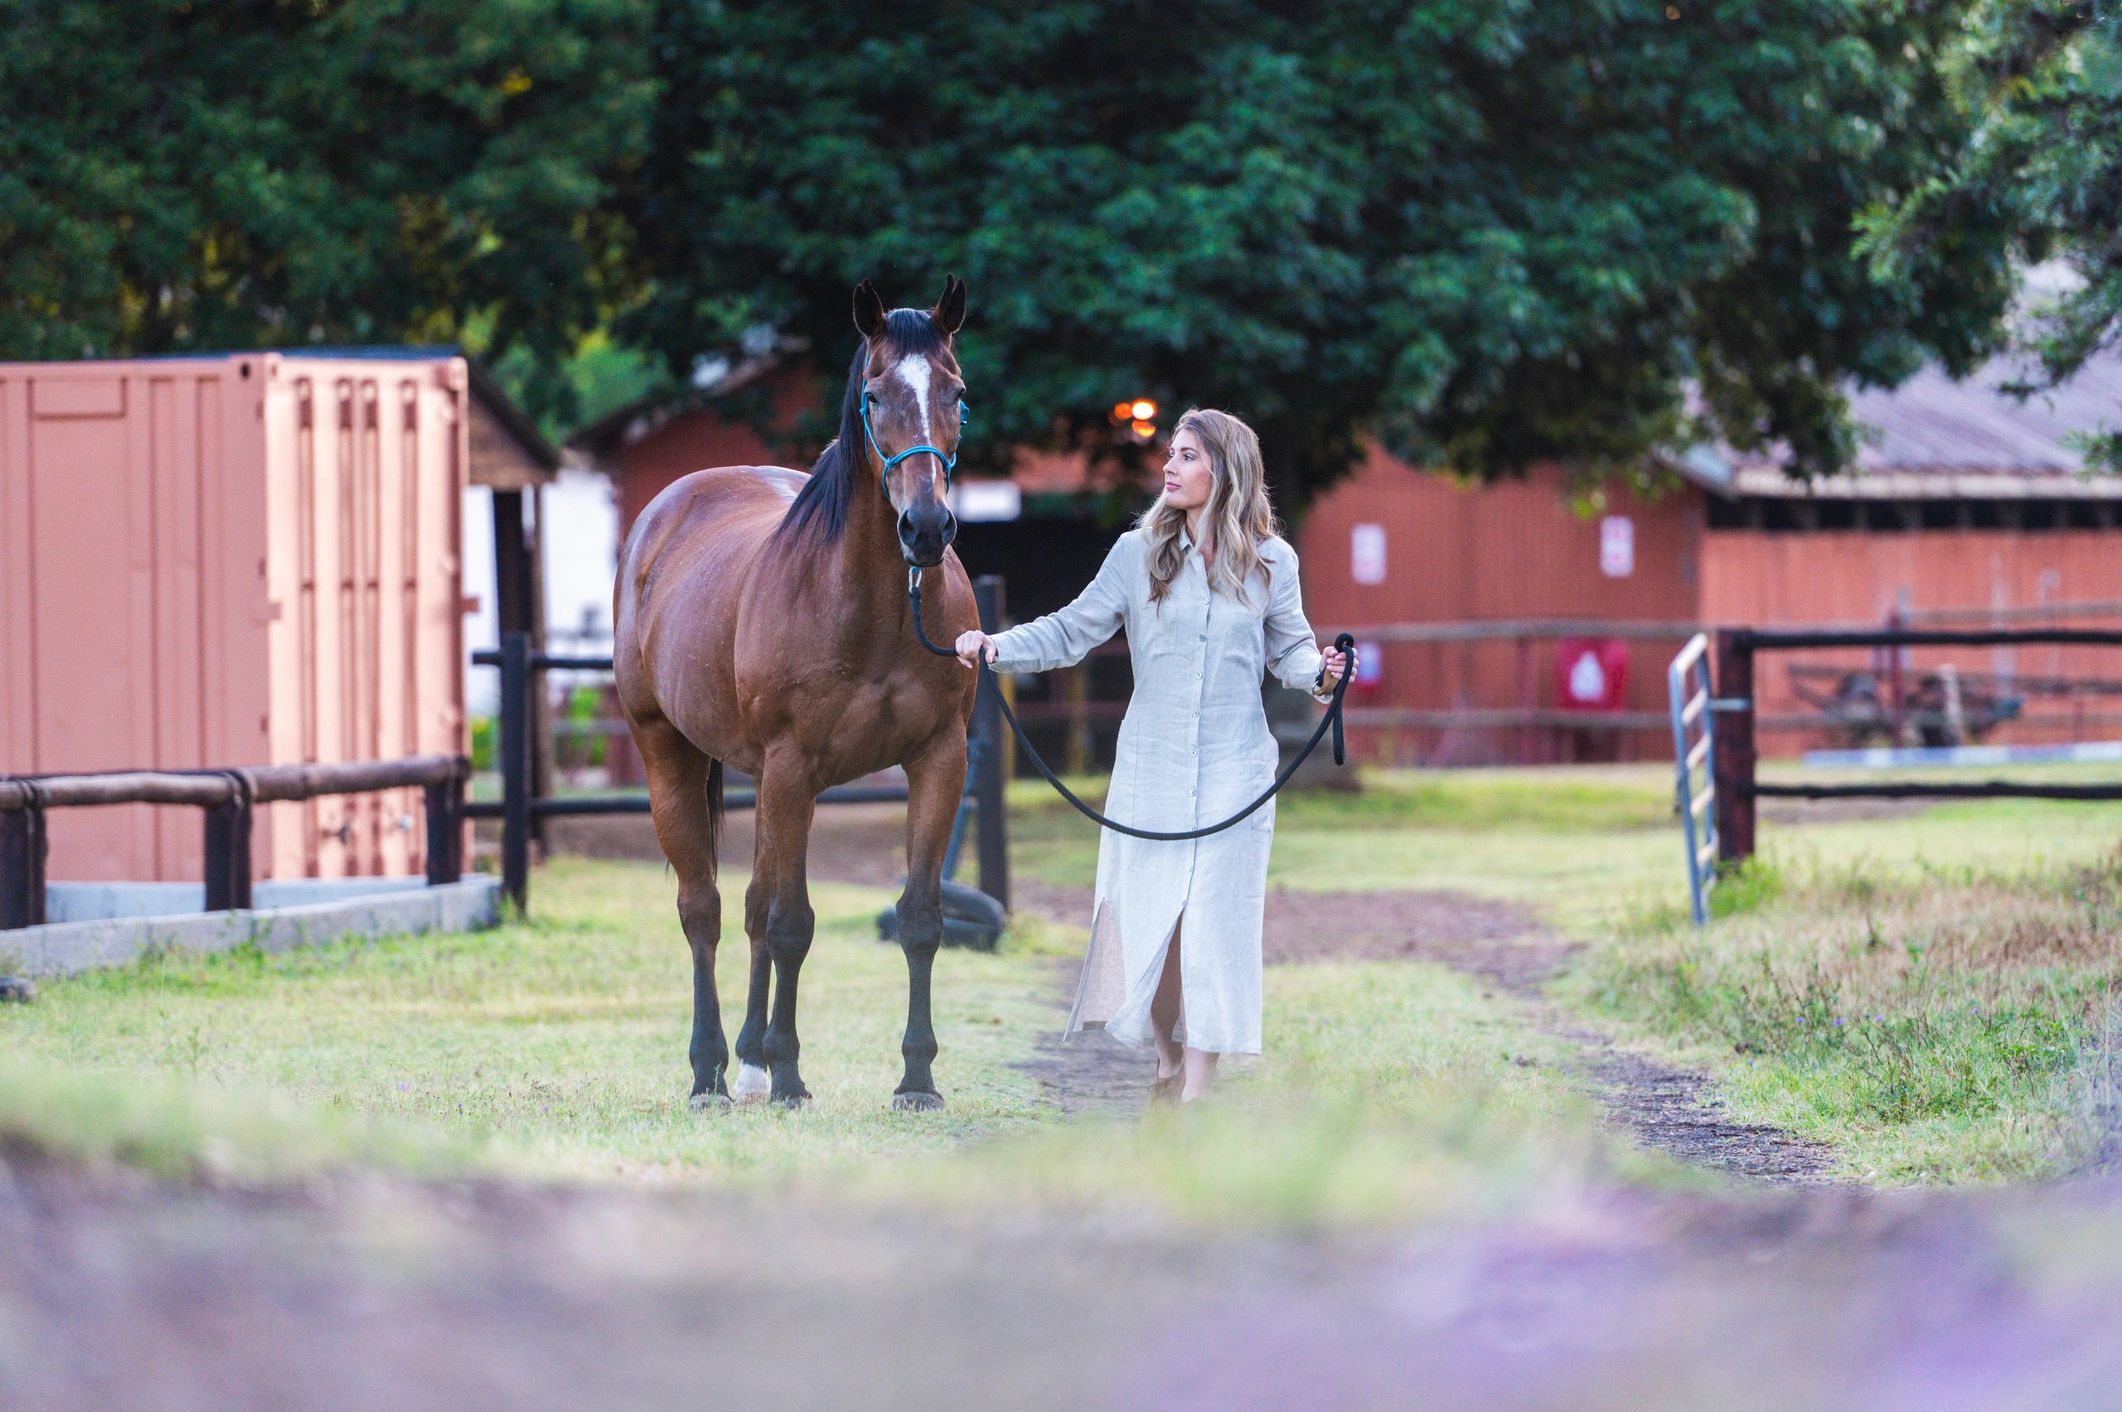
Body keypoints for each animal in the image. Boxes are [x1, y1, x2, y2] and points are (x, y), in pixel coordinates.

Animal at [612, 277, 979, 1112]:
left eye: (956, 394)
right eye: (874, 395)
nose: (926, 528)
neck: (874, 607)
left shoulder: (939, 759)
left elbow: (919, 918)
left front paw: (917, 1079)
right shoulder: (793, 766)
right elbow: (792, 926)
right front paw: (789, 1074)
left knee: (749, 908)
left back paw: (746, 1063)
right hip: (672, 756)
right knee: (706, 910)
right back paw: (713, 1072)